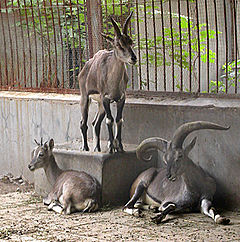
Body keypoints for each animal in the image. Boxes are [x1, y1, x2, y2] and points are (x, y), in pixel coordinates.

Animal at [79, 11, 137, 153]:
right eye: (118, 44)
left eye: (131, 42)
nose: (133, 58)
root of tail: (85, 68)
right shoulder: (105, 98)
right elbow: (109, 120)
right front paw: (111, 147)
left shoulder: (121, 98)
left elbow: (119, 120)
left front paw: (119, 147)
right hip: (85, 98)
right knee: (83, 123)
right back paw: (86, 148)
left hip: (100, 105)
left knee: (95, 123)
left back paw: (97, 148)